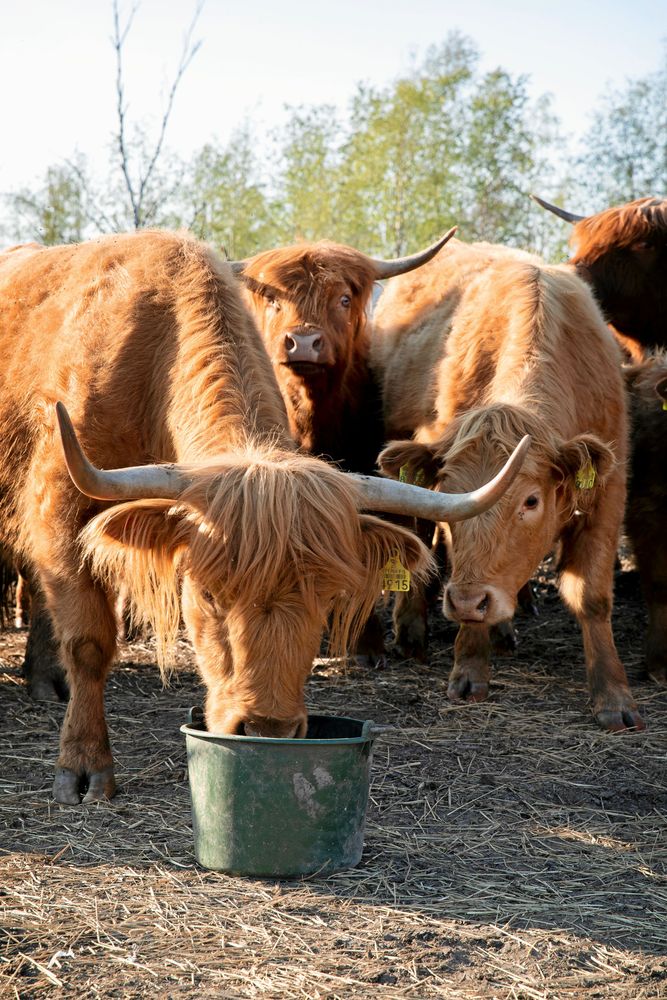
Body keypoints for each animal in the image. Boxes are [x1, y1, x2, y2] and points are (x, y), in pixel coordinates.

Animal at [0, 229, 529, 804]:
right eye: (207, 594)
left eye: (327, 599)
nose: (265, 727)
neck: (149, 364)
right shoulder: (57, 511)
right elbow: (89, 643)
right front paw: (83, 766)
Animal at [370, 237, 644, 732]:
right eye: (448, 495)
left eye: (531, 501)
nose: (465, 602)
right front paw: (468, 668)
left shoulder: (609, 494)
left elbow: (592, 597)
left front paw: (614, 695)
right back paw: (413, 631)